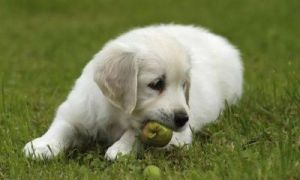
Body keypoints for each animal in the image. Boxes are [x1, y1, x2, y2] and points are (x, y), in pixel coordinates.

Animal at [24, 24, 244, 160]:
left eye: (184, 85)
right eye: (156, 84)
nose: (183, 119)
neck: (118, 115)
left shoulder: (178, 138)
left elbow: (137, 132)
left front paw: (120, 149)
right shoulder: (78, 109)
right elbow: (62, 126)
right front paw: (42, 145)